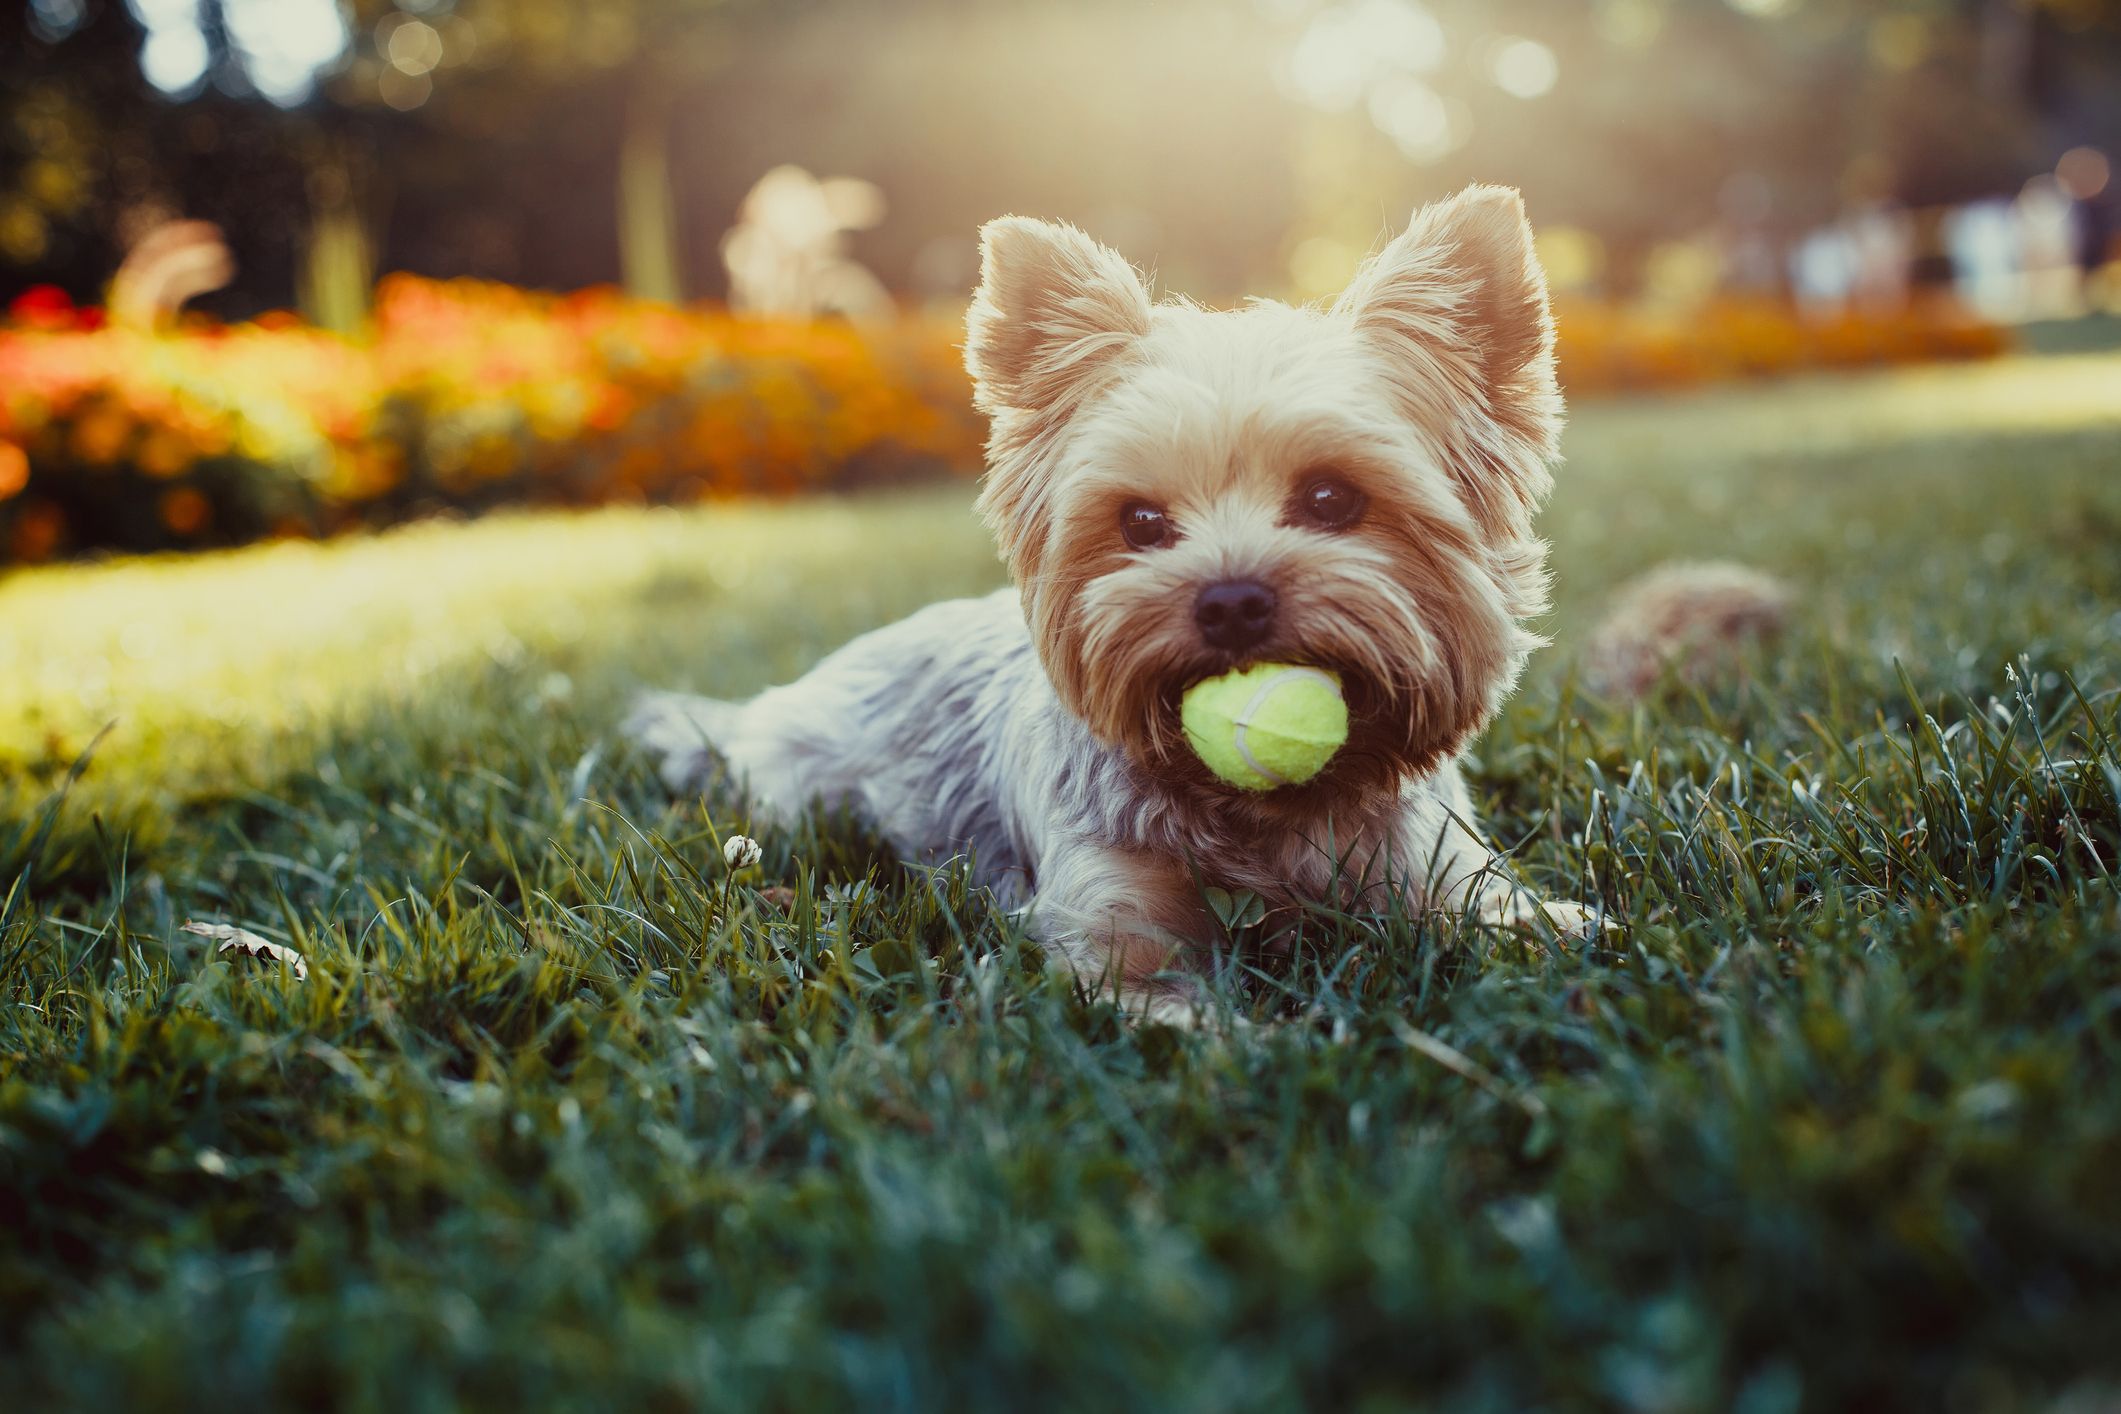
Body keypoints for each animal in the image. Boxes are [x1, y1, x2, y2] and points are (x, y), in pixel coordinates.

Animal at [627, 185, 1594, 1017]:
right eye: (1140, 521)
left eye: (1330, 498)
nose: (1230, 600)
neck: (1268, 817)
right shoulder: (1111, 921)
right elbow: (1162, 1002)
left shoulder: (1435, 867)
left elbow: (1526, 922)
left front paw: (1563, 927)